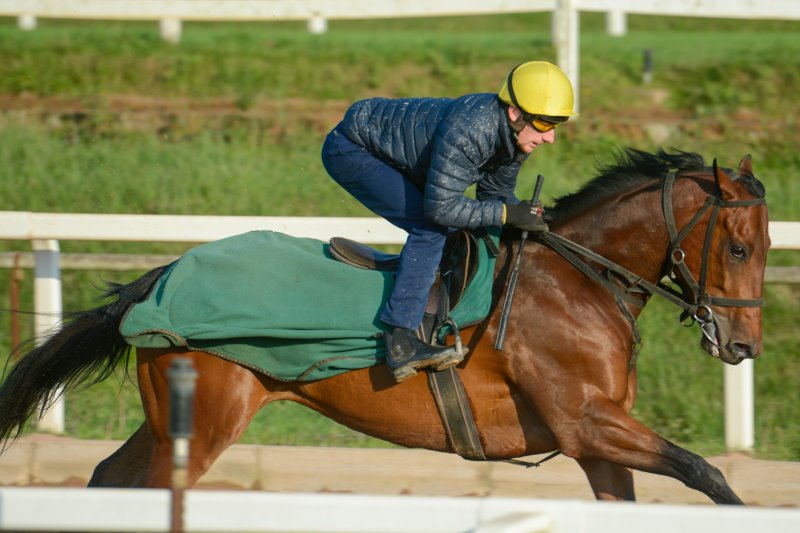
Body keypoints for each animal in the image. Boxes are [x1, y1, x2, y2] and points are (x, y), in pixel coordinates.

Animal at [0, 148, 769, 504]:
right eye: (738, 248)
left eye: (765, 245)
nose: (743, 345)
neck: (579, 280)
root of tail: (161, 276)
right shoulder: (585, 420)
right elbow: (705, 470)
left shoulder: (598, 441)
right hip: (205, 420)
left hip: (171, 418)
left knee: (111, 476)